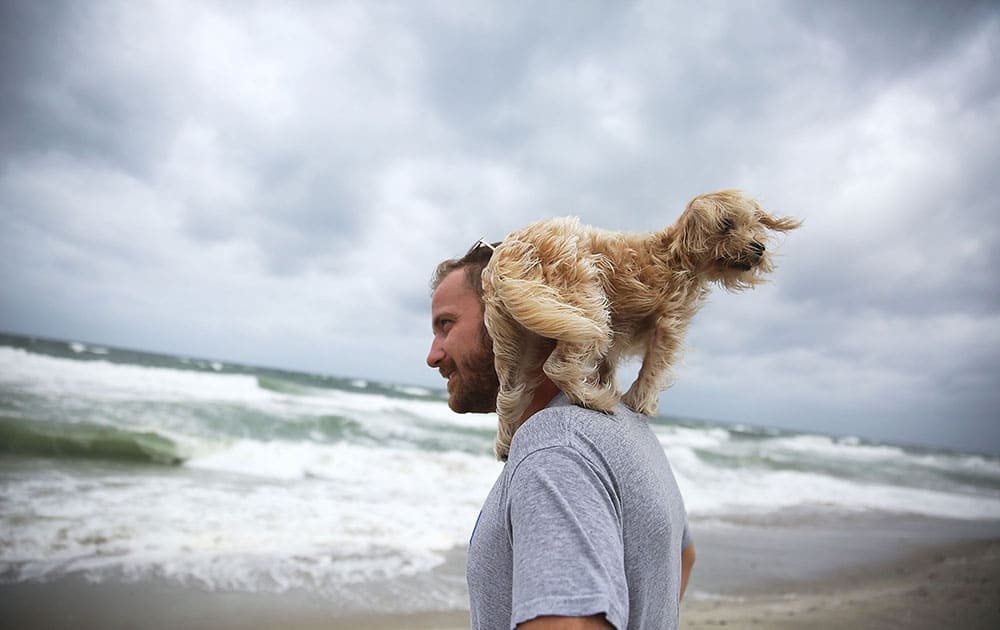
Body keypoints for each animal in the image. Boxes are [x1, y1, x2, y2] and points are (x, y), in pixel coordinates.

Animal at [480, 190, 800, 462]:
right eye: (726, 224)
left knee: (509, 394)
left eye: (754, 224)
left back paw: (507, 442)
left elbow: (609, 363)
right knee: (558, 366)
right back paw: (594, 400)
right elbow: (654, 367)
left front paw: (610, 383)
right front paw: (638, 402)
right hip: (585, 306)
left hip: (520, 335)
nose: (758, 248)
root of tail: (511, 251)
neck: (676, 255)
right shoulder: (671, 324)